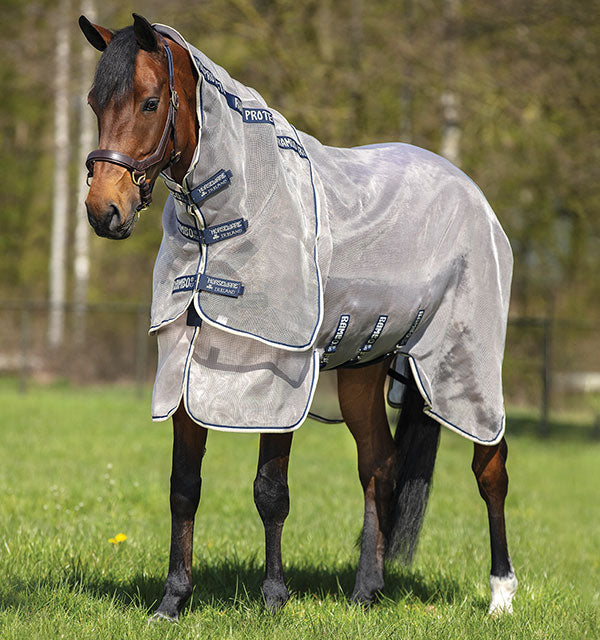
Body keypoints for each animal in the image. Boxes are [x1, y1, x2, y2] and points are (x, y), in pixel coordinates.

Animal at [79, 13, 518, 621]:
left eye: (148, 102)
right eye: (95, 102)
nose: (105, 211)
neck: (230, 215)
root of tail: (470, 189)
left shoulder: (277, 372)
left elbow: (270, 491)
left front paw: (273, 599)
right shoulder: (187, 370)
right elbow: (183, 486)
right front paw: (172, 600)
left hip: (465, 363)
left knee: (490, 469)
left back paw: (501, 594)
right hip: (362, 369)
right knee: (378, 465)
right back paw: (367, 589)